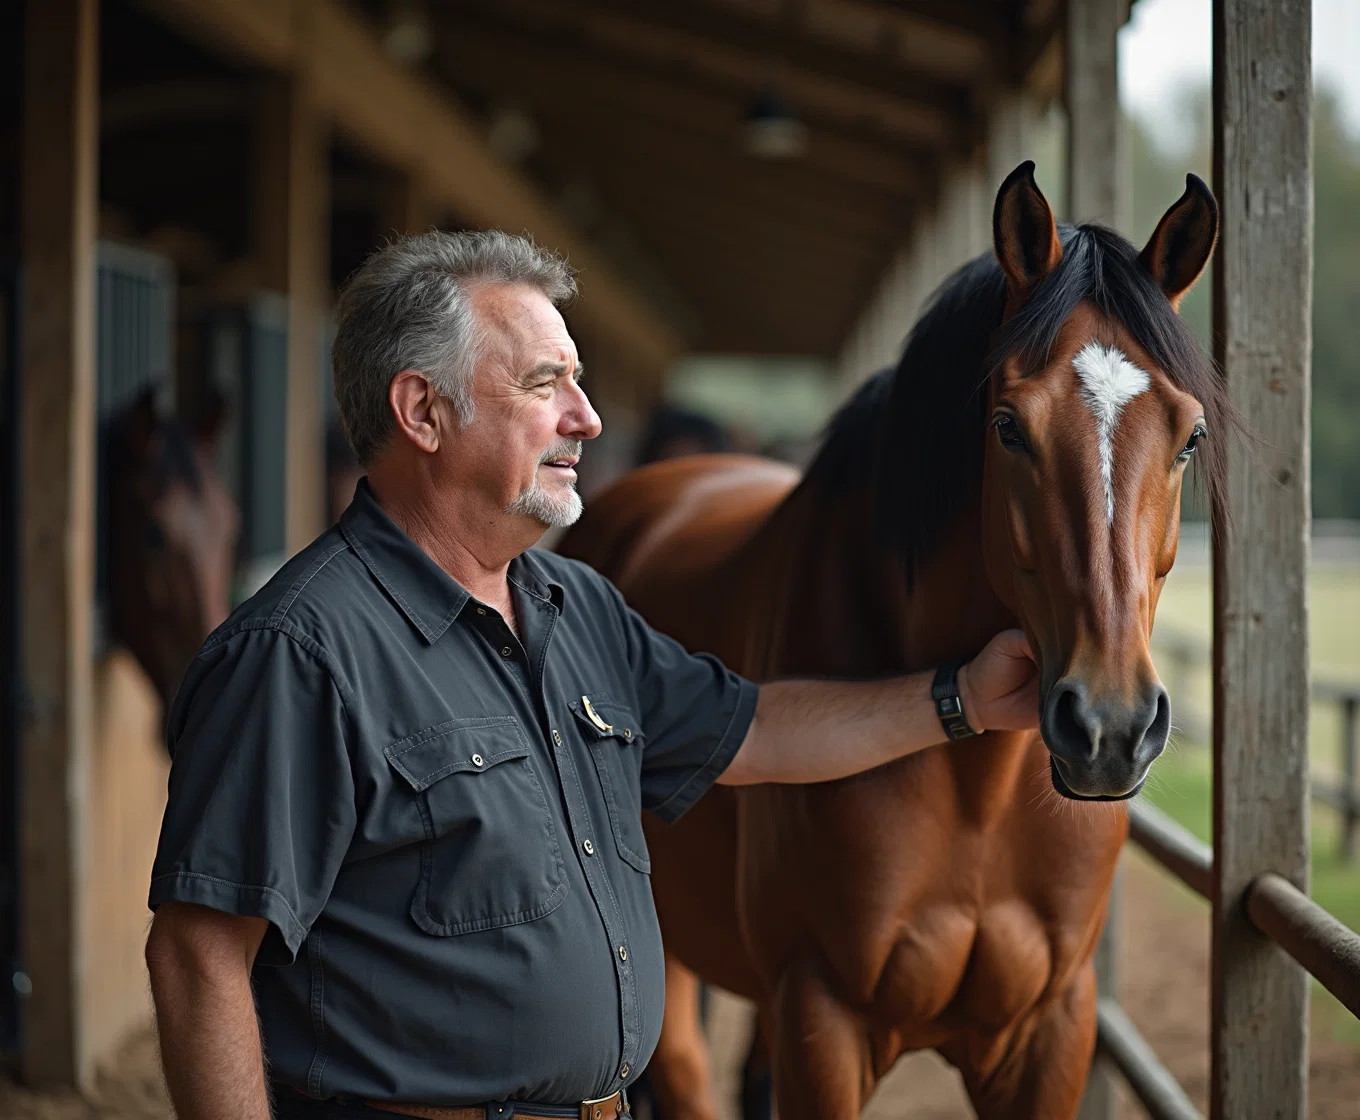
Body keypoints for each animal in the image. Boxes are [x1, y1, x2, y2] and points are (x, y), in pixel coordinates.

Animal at [557, 159, 1229, 1120]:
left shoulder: (1049, 1030)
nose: (1110, 728)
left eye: (1190, 435)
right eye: (1008, 426)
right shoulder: (823, 1021)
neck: (980, 792)